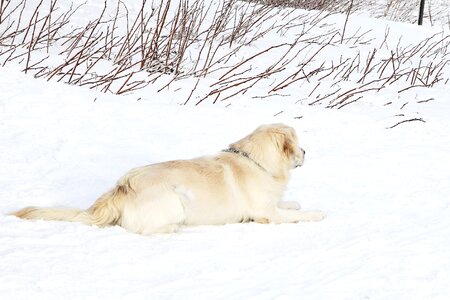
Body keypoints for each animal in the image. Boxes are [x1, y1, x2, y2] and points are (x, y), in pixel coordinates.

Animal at [10, 123, 326, 233]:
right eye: (298, 143)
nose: (306, 151)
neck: (256, 161)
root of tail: (121, 187)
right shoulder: (266, 214)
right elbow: (296, 214)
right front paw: (315, 213)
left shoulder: (271, 204)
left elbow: (289, 204)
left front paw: (295, 202)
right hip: (175, 200)